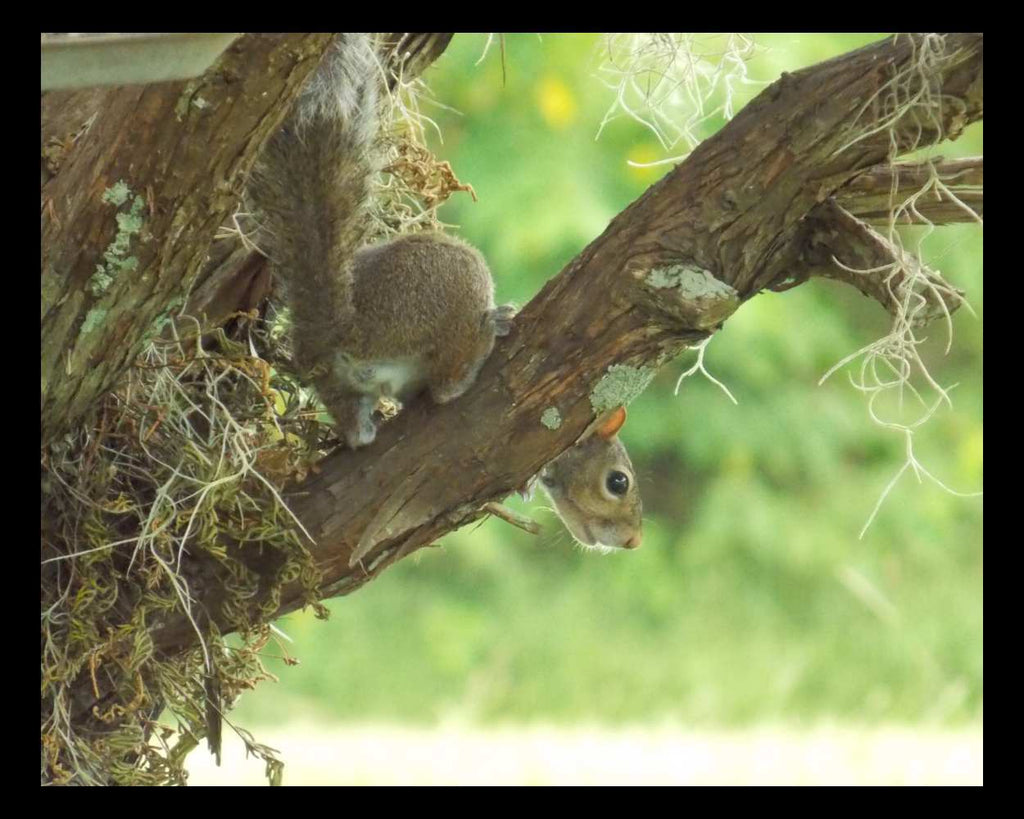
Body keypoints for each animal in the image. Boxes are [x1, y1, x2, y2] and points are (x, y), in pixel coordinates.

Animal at [247, 33, 642, 551]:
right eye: (618, 482)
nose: (634, 541)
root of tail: (336, 327)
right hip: (448, 284)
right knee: (448, 386)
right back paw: (490, 330)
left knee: (359, 424)